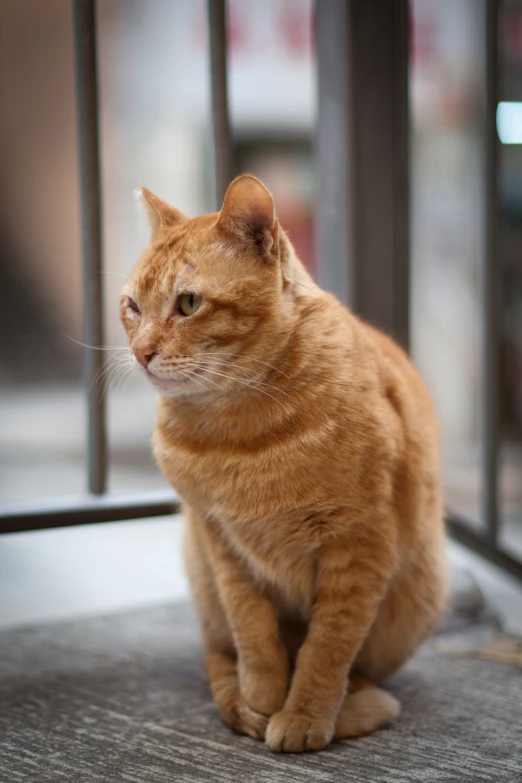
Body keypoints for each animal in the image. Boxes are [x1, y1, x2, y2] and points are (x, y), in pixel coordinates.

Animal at [120, 176, 444, 752]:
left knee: (361, 666)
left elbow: (327, 646)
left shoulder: (360, 545)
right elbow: (250, 627)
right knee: (216, 651)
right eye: (132, 306)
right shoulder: (220, 540)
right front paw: (263, 693)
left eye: (188, 303)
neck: (236, 436)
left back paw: (355, 699)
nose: (140, 352)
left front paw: (306, 713)